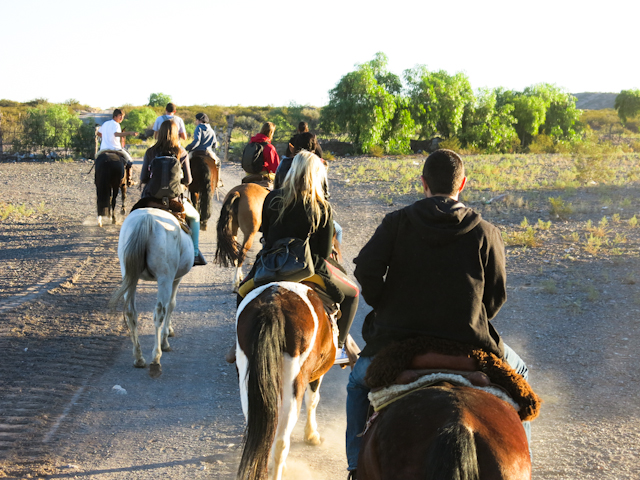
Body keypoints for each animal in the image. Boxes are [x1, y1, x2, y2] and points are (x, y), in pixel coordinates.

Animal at [109, 208, 194, 376]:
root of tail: (146, 218)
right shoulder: (176, 279)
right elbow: (172, 304)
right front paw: (166, 338)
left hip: (130, 275)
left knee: (131, 312)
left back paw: (138, 358)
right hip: (164, 277)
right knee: (159, 312)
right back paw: (156, 358)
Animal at [235, 282, 336, 480]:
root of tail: (273, 306)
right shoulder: (316, 374)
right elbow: (313, 400)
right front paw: (311, 435)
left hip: (247, 376)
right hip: (293, 383)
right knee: (281, 442)